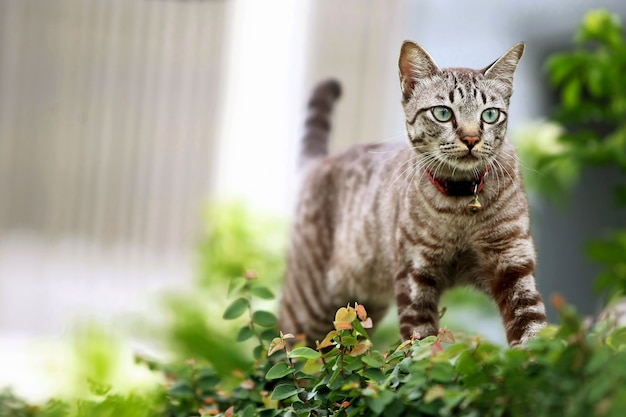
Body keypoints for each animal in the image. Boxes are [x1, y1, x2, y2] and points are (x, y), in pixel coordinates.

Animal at [278, 40, 544, 346]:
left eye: (490, 114)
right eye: (443, 113)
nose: (471, 138)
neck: (461, 204)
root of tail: (319, 162)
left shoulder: (512, 264)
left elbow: (533, 330)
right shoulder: (415, 276)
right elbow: (422, 343)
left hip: (362, 307)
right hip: (310, 305)